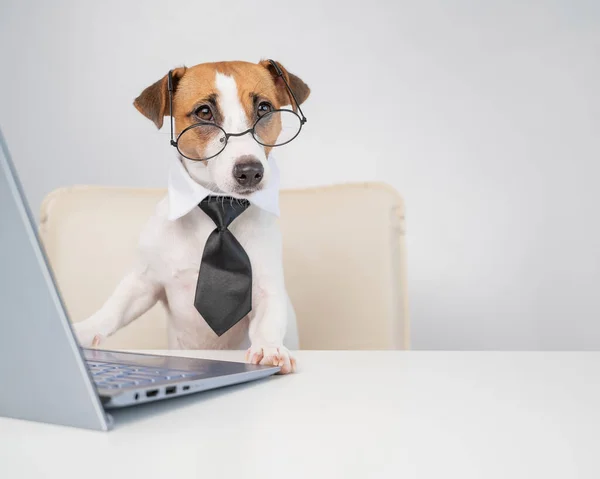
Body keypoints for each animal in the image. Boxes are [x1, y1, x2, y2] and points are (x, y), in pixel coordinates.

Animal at [72, 60, 310, 376]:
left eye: (264, 108)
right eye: (204, 112)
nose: (250, 171)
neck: (219, 209)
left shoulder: (267, 287)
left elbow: (268, 321)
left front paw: (269, 348)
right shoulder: (144, 282)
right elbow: (115, 308)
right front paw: (83, 330)